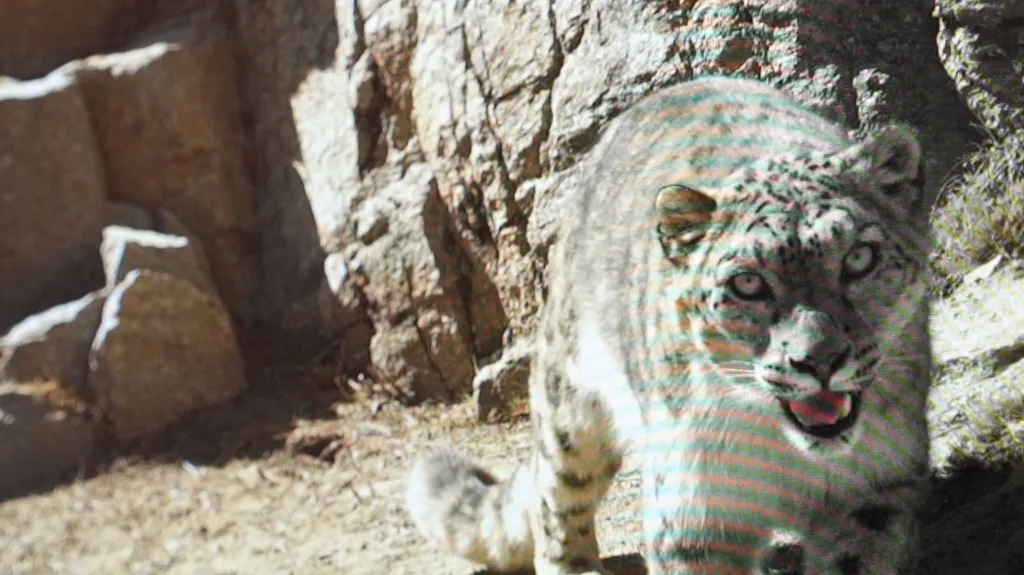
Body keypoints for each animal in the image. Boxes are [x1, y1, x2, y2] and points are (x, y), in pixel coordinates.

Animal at [405, 76, 933, 575]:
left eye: (860, 257)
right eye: (747, 283)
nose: (819, 360)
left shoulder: (873, 491)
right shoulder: (693, 515)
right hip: (567, 402)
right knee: (556, 492)